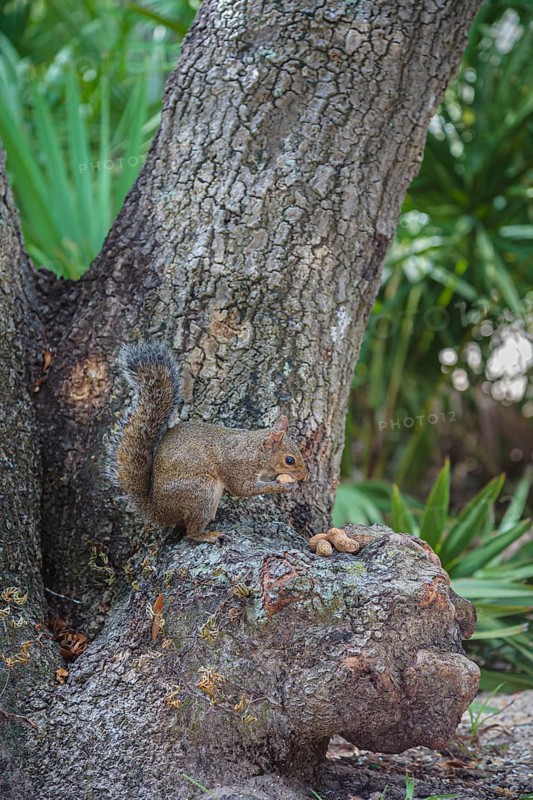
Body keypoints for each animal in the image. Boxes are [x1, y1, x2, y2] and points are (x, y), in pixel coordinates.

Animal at [108, 342, 308, 542]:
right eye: (290, 460)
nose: (304, 477)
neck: (255, 450)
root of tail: (157, 511)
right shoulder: (238, 467)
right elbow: (243, 490)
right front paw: (284, 487)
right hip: (200, 493)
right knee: (191, 531)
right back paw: (208, 535)